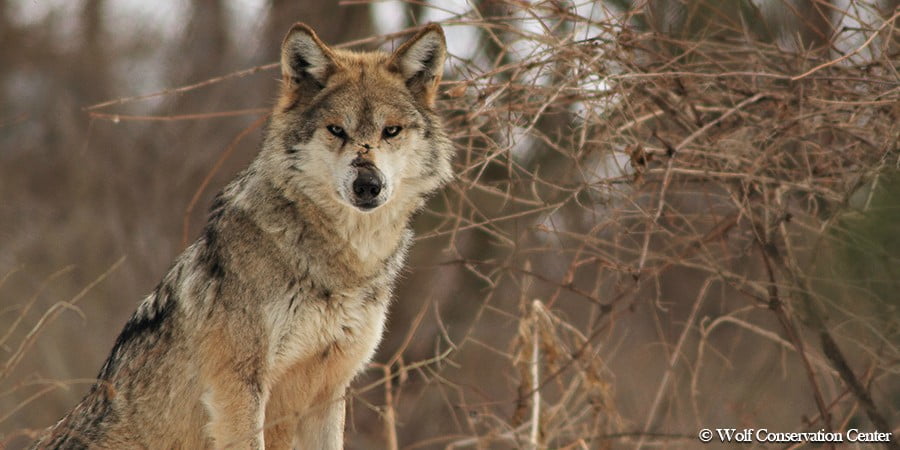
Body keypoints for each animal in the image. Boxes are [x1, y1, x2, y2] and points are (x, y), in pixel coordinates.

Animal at [31, 22, 454, 450]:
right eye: (337, 130)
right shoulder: (239, 385)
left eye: (391, 131)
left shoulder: (329, 390)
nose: (368, 185)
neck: (342, 266)